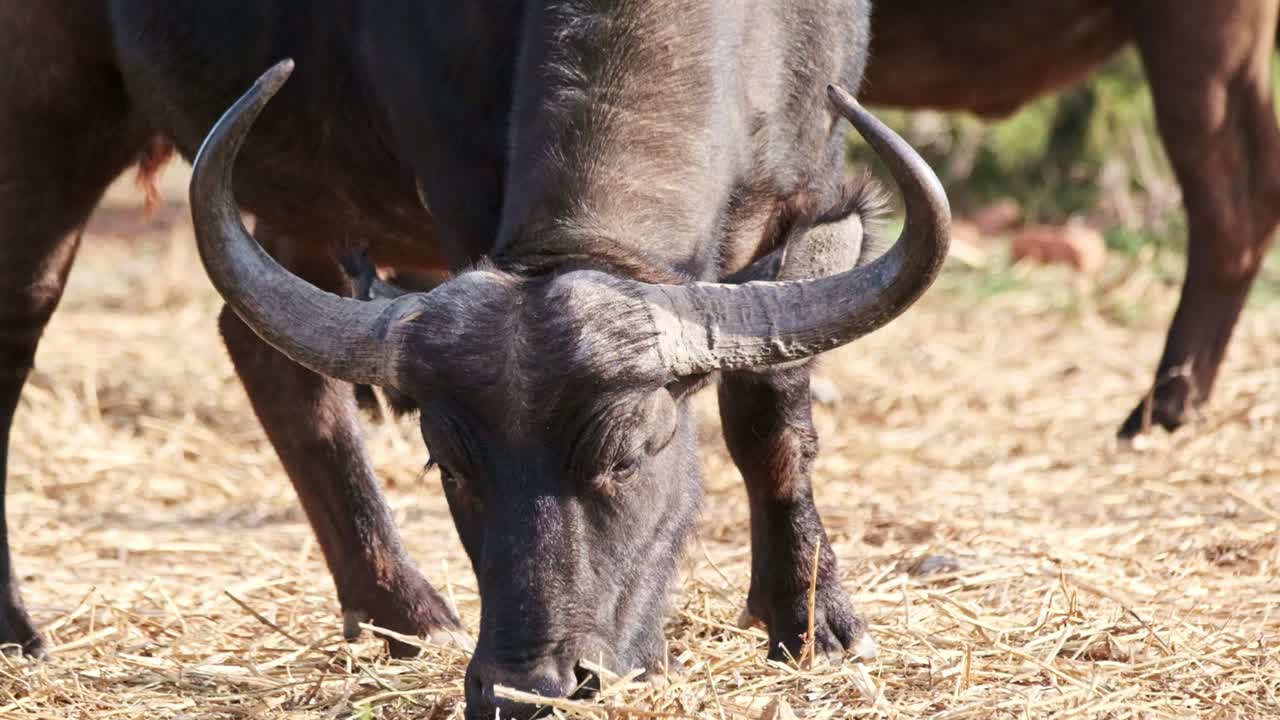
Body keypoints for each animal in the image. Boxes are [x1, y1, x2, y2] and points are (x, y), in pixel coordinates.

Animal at [0, 2, 950, 716]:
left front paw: (814, 623)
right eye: (450, 464)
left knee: (268, 353)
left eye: (628, 455)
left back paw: (405, 616)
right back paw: (17, 629)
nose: (532, 689)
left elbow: (769, 421)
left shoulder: (811, 183)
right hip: (44, 114)